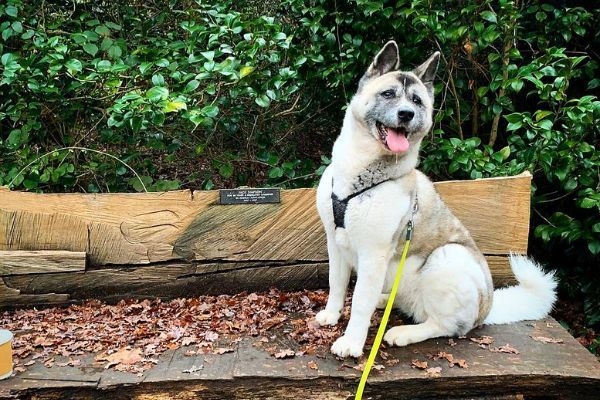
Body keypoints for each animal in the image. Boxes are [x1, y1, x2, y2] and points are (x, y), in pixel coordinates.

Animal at [316, 41, 556, 360]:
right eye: (388, 94)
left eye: (417, 101)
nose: (406, 114)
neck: (360, 175)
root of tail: (487, 309)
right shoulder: (336, 244)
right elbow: (337, 284)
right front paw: (331, 315)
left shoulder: (372, 254)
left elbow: (359, 303)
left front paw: (352, 342)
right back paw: (385, 299)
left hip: (448, 257)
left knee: (445, 326)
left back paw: (404, 332)